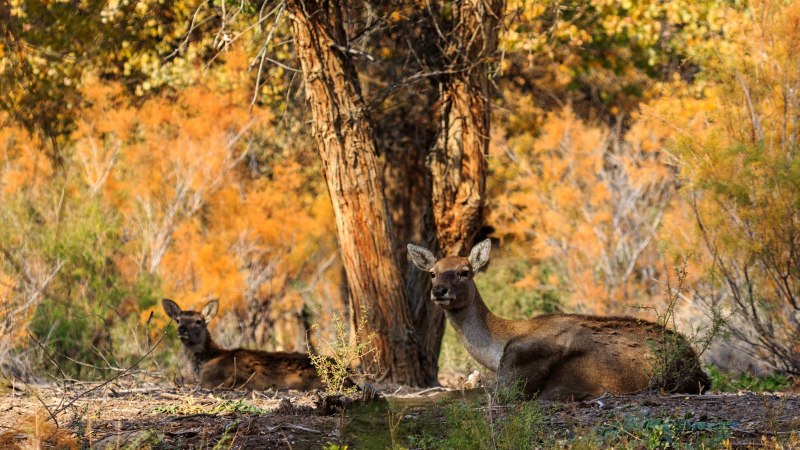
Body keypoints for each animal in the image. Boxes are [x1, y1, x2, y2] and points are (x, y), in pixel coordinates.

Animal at [410, 239, 708, 400]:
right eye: (433, 273)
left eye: (465, 271)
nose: (439, 290)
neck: (498, 346)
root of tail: (695, 364)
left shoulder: (514, 373)